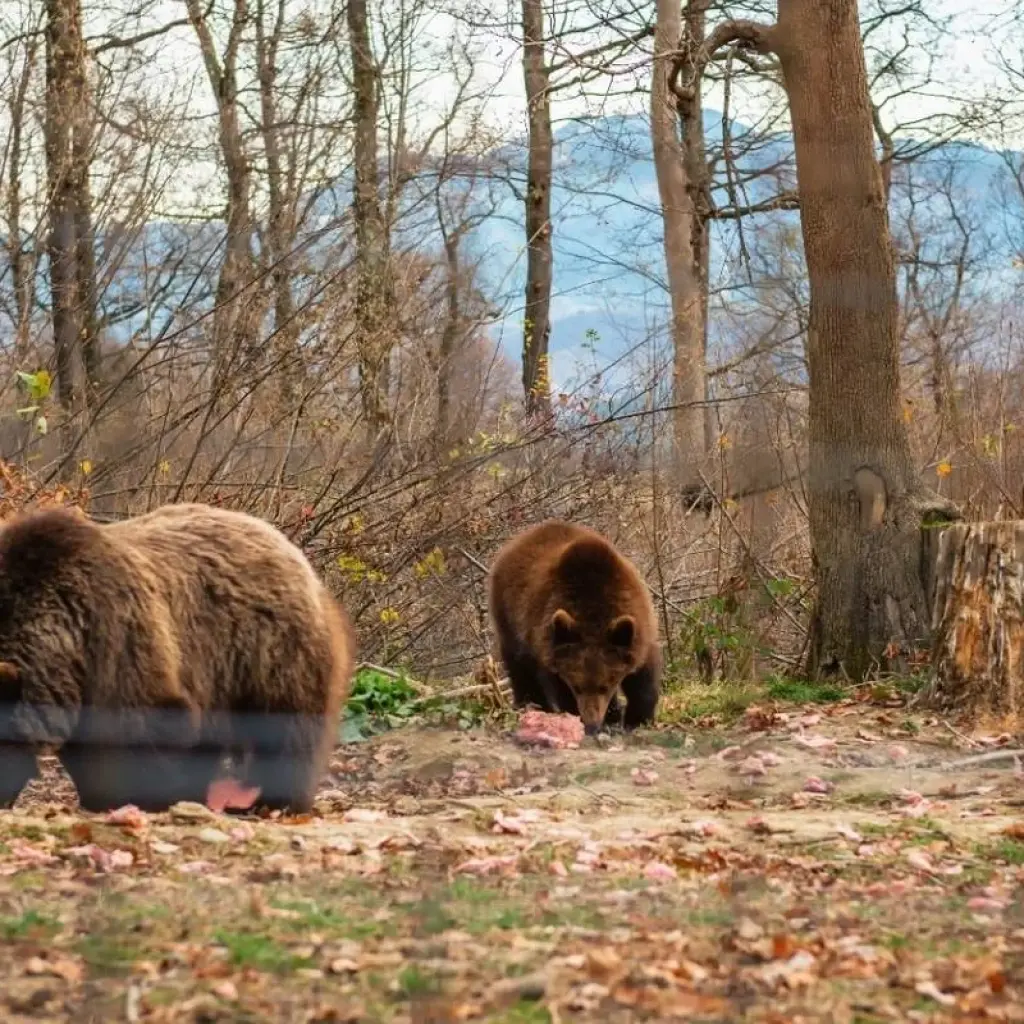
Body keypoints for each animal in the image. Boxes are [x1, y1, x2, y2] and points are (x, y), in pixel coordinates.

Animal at [487, 519, 661, 734]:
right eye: (577, 686)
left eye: (604, 685)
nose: (591, 722)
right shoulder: (548, 643)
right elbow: (558, 684)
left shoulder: (638, 626)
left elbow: (643, 676)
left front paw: (636, 718)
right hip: (509, 614)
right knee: (519, 664)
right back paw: (532, 704)